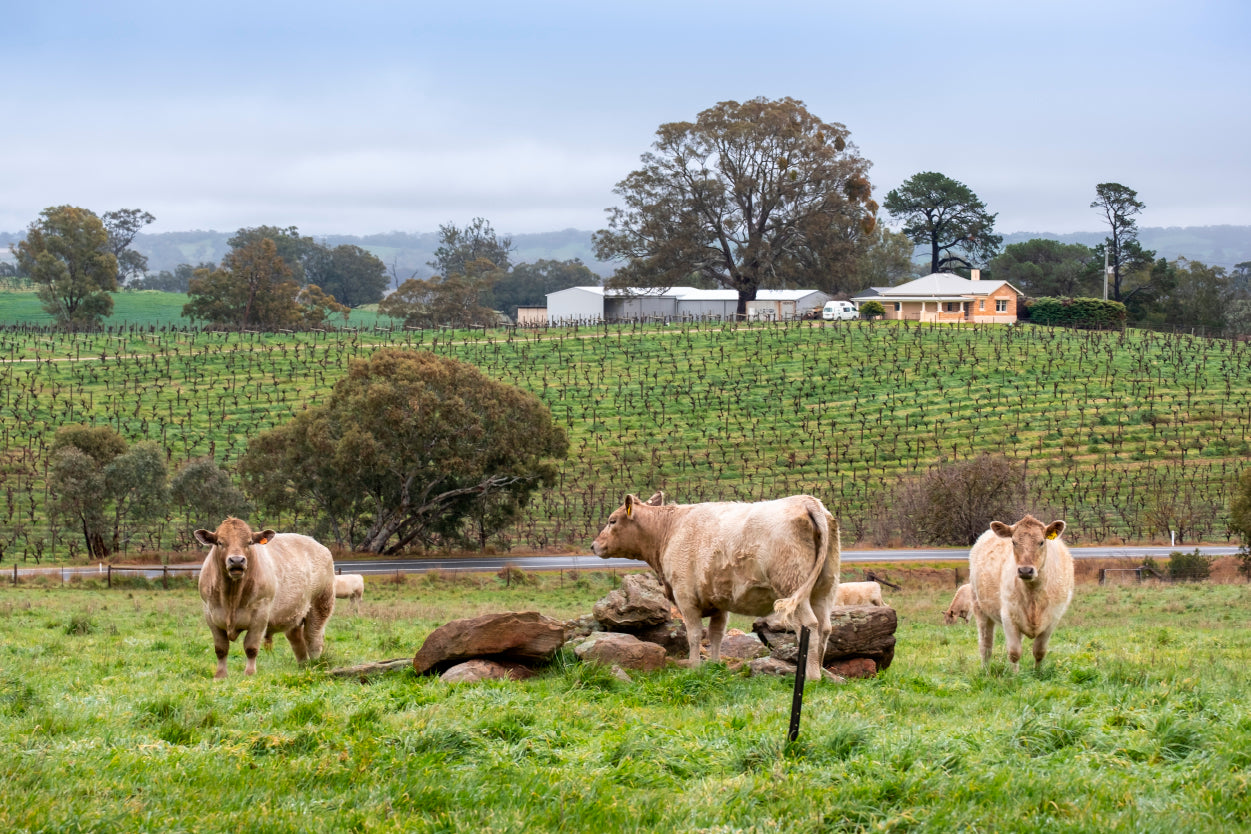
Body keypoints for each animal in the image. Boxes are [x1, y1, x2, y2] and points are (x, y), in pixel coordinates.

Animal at [196, 517, 336, 679]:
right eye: (220, 542)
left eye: (249, 542)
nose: (237, 560)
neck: (232, 597)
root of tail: (318, 545)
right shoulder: (210, 614)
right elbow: (221, 648)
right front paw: (220, 675)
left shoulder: (260, 615)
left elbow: (251, 647)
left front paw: (250, 673)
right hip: (294, 614)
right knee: (297, 641)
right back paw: (303, 666)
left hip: (320, 605)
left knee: (313, 639)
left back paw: (315, 665)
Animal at [591, 493, 840, 680]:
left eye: (612, 521)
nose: (594, 545)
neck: (670, 530)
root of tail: (806, 501)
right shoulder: (719, 602)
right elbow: (716, 635)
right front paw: (714, 665)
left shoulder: (685, 597)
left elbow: (693, 635)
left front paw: (694, 667)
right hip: (824, 589)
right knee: (825, 627)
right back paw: (823, 673)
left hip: (792, 586)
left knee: (809, 625)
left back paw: (811, 676)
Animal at [968, 515, 1074, 670]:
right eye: (1013, 542)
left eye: (1041, 542)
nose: (1025, 570)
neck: (1033, 594)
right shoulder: (1008, 616)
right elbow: (1014, 652)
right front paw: (1015, 674)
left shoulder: (1053, 618)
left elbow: (1039, 651)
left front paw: (1038, 672)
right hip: (979, 607)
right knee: (985, 645)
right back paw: (985, 670)